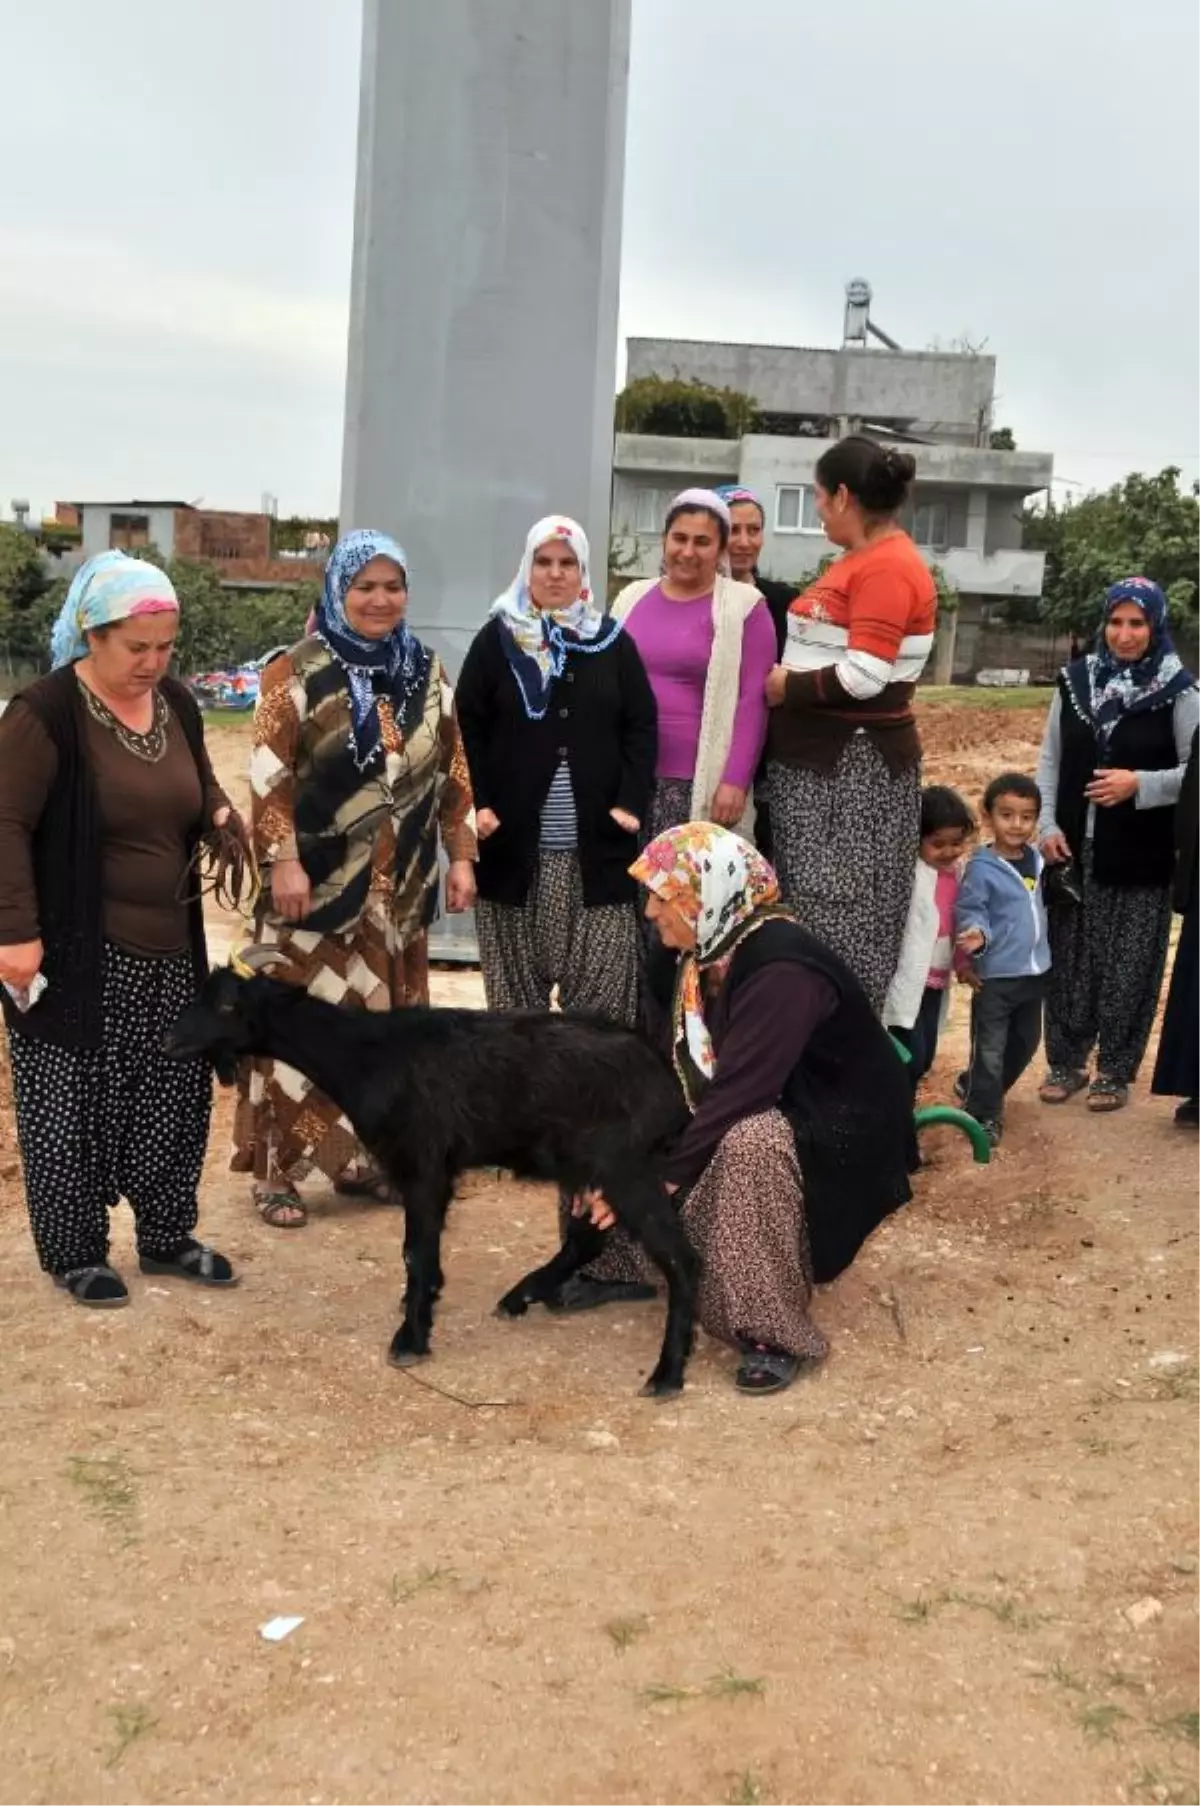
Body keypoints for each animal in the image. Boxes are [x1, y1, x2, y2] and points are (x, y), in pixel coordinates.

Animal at [164, 960, 697, 1394]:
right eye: (200, 995)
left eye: (229, 1005)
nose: (172, 1040)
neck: (367, 1055)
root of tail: (671, 1090)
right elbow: (422, 1249)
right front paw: (419, 1305)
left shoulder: (423, 1164)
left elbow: (416, 1252)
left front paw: (410, 1338)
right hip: (591, 1169)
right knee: (588, 1238)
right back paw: (520, 1295)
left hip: (626, 1168)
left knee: (680, 1258)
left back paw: (667, 1374)